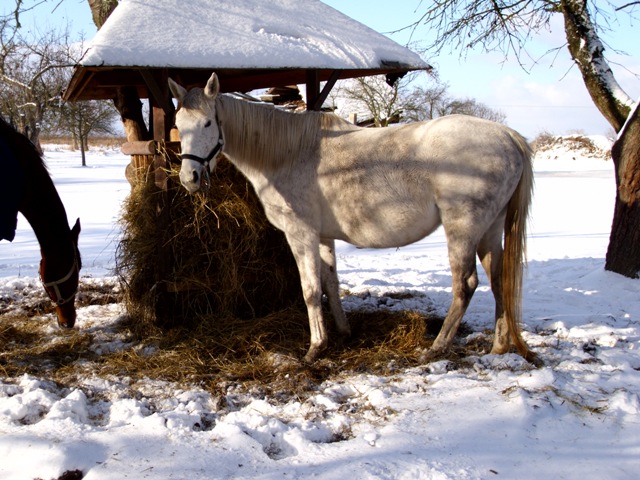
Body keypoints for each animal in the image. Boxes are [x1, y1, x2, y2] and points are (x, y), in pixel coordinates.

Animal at [166, 73, 536, 362]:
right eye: (178, 126)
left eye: (208, 123)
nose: (190, 178)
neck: (289, 154)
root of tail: (509, 137)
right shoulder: (323, 236)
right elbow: (330, 283)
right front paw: (342, 333)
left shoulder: (300, 233)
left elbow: (310, 290)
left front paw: (315, 348)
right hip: (489, 229)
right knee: (499, 279)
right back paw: (499, 347)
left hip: (463, 228)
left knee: (465, 284)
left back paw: (436, 347)